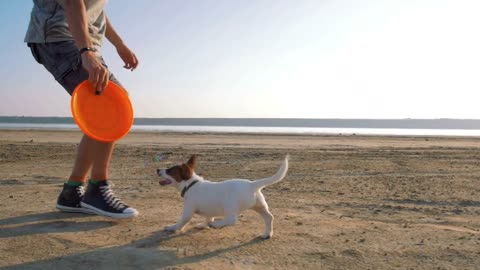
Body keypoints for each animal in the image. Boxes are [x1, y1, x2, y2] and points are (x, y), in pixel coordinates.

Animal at [157, 154, 288, 238]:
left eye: (169, 170)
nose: (157, 169)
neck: (191, 184)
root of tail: (252, 184)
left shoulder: (188, 211)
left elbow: (181, 222)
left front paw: (172, 227)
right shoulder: (208, 210)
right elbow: (208, 217)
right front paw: (203, 225)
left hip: (230, 206)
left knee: (232, 220)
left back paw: (216, 225)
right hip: (259, 206)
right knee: (269, 218)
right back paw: (267, 234)